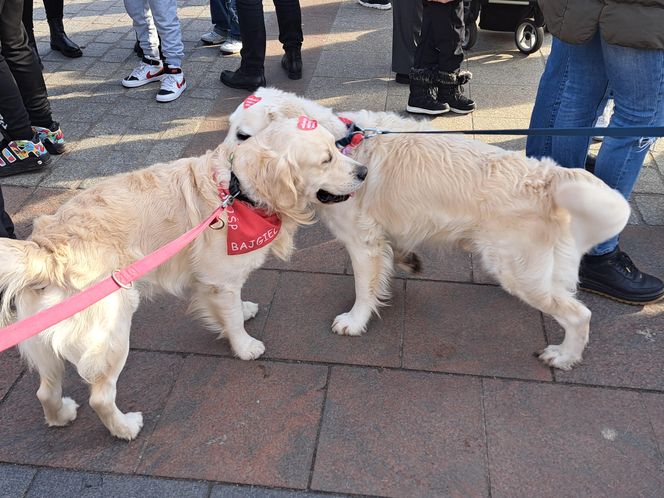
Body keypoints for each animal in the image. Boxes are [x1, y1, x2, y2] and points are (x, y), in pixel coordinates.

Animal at [0, 117, 368, 440]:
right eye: (326, 159)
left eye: (338, 147)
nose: (364, 172)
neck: (238, 190)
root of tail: (44, 250)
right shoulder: (221, 278)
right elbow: (233, 320)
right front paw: (245, 346)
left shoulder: (213, 281)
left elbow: (229, 309)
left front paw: (242, 311)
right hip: (113, 328)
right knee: (100, 397)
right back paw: (126, 428)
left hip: (43, 341)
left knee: (45, 391)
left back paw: (61, 415)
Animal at [226, 87, 632, 372]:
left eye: (243, 136)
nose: (224, 169)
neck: (342, 145)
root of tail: (547, 176)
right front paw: (407, 261)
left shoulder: (362, 242)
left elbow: (363, 288)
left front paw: (355, 321)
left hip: (518, 271)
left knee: (579, 315)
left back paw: (563, 356)